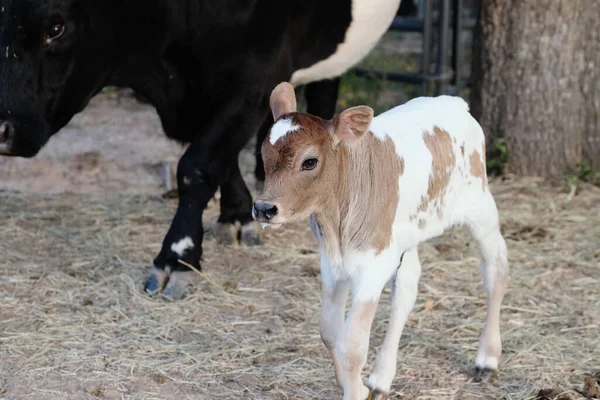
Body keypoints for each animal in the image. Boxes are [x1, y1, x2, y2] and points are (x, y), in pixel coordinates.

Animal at [3, 0, 404, 298]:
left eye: (57, 28)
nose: (3, 128)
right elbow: (220, 157)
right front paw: (237, 214)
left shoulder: (256, 75)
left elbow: (197, 165)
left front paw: (177, 257)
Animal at [253, 83, 510, 398]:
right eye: (264, 154)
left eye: (309, 161)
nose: (264, 208)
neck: (337, 222)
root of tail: (454, 101)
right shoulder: (331, 262)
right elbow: (329, 330)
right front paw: (355, 386)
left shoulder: (374, 265)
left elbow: (352, 345)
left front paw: (354, 391)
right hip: (406, 236)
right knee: (407, 289)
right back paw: (381, 377)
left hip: (479, 204)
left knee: (496, 268)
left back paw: (487, 358)